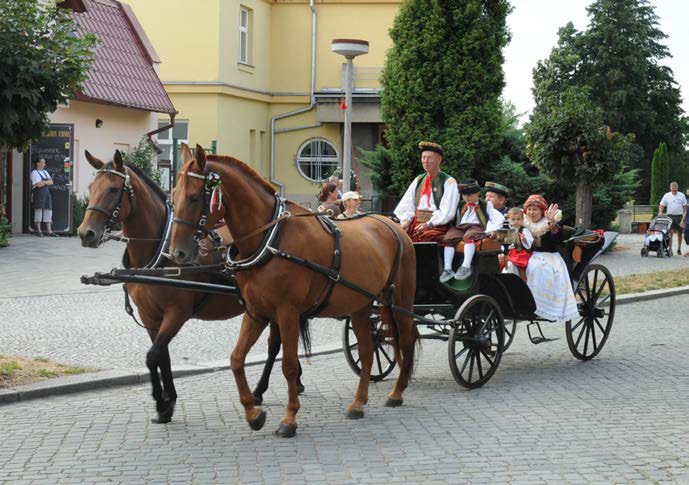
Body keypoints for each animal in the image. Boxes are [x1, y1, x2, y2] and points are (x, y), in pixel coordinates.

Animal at [77, 149, 300, 422]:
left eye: (113, 189)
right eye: (91, 187)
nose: (85, 233)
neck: (161, 252)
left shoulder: (176, 313)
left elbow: (152, 356)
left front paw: (161, 401)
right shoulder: (150, 316)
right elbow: (162, 357)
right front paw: (167, 403)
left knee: (275, 345)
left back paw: (261, 390)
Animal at [171, 145, 420, 438]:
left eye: (194, 197)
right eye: (173, 195)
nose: (177, 253)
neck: (271, 240)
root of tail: (393, 225)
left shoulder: (287, 313)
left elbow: (289, 364)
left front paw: (289, 418)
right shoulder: (255, 313)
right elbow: (236, 359)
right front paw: (254, 413)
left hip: (399, 301)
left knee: (406, 340)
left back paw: (397, 392)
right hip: (361, 306)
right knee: (369, 350)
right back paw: (358, 403)